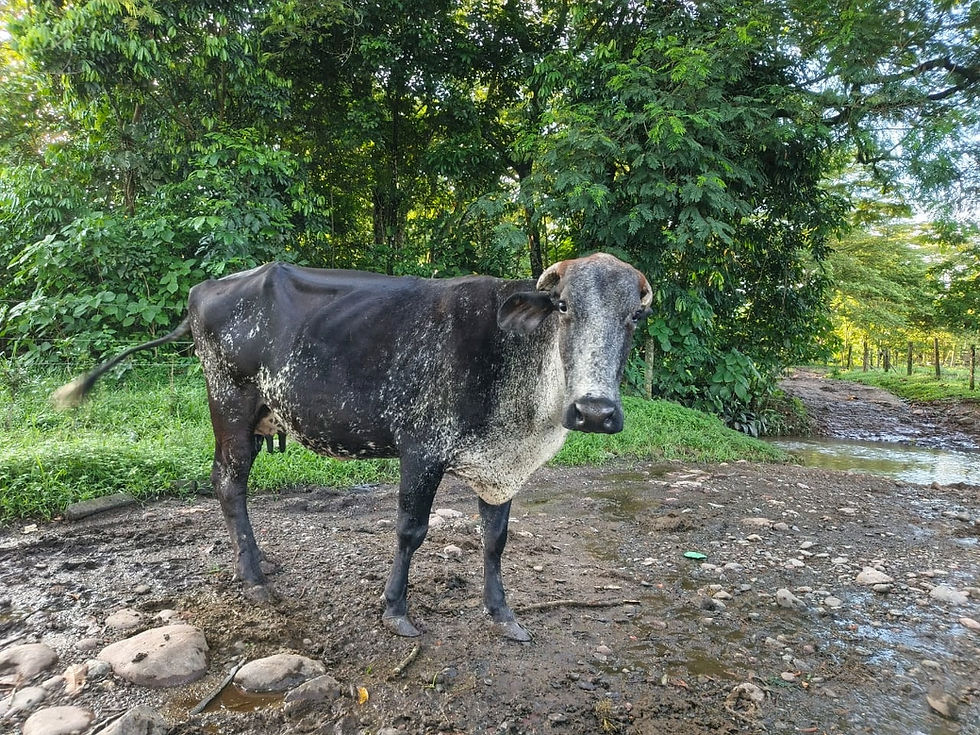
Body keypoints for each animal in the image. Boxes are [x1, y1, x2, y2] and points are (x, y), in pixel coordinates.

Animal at [53, 253, 652, 641]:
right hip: (230, 403)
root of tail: (203, 293)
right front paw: (396, 611)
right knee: (228, 482)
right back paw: (253, 578)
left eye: (635, 316)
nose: (595, 411)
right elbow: (411, 531)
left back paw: (259, 561)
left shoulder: (500, 469)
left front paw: (502, 614)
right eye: (563, 306)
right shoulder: (422, 450)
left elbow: (496, 540)